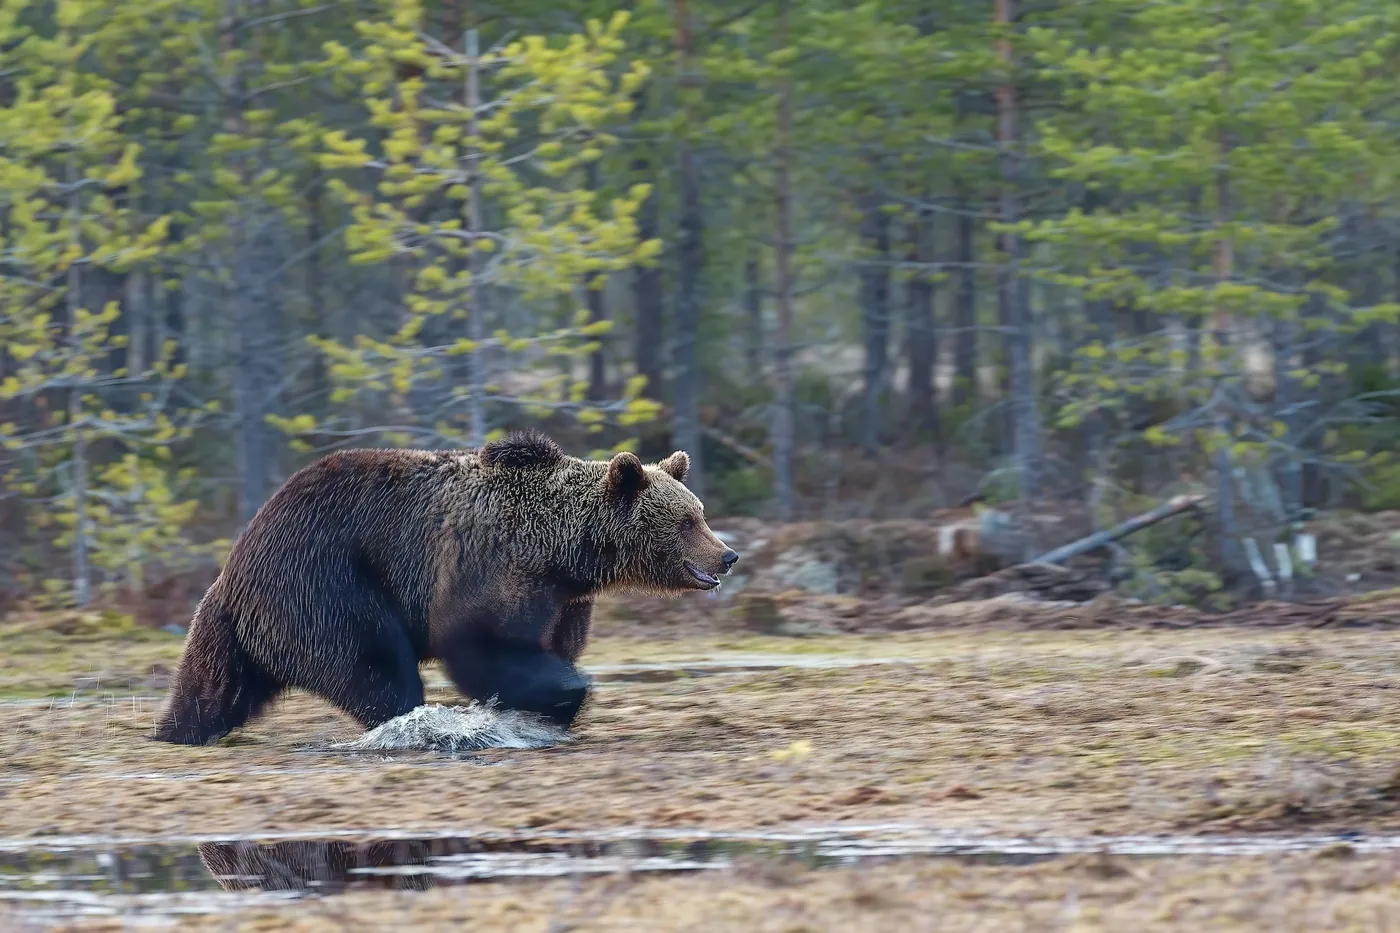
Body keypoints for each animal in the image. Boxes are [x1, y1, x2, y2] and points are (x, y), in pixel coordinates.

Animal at [153, 430, 738, 746]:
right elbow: (479, 642)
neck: (566, 552)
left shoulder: (565, 599)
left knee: (213, 688)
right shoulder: (492, 562)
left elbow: (551, 644)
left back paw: (175, 730)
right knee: (374, 664)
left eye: (700, 513)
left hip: (243, 627)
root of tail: (236, 561)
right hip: (324, 583)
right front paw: (557, 694)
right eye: (687, 520)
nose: (727, 555)